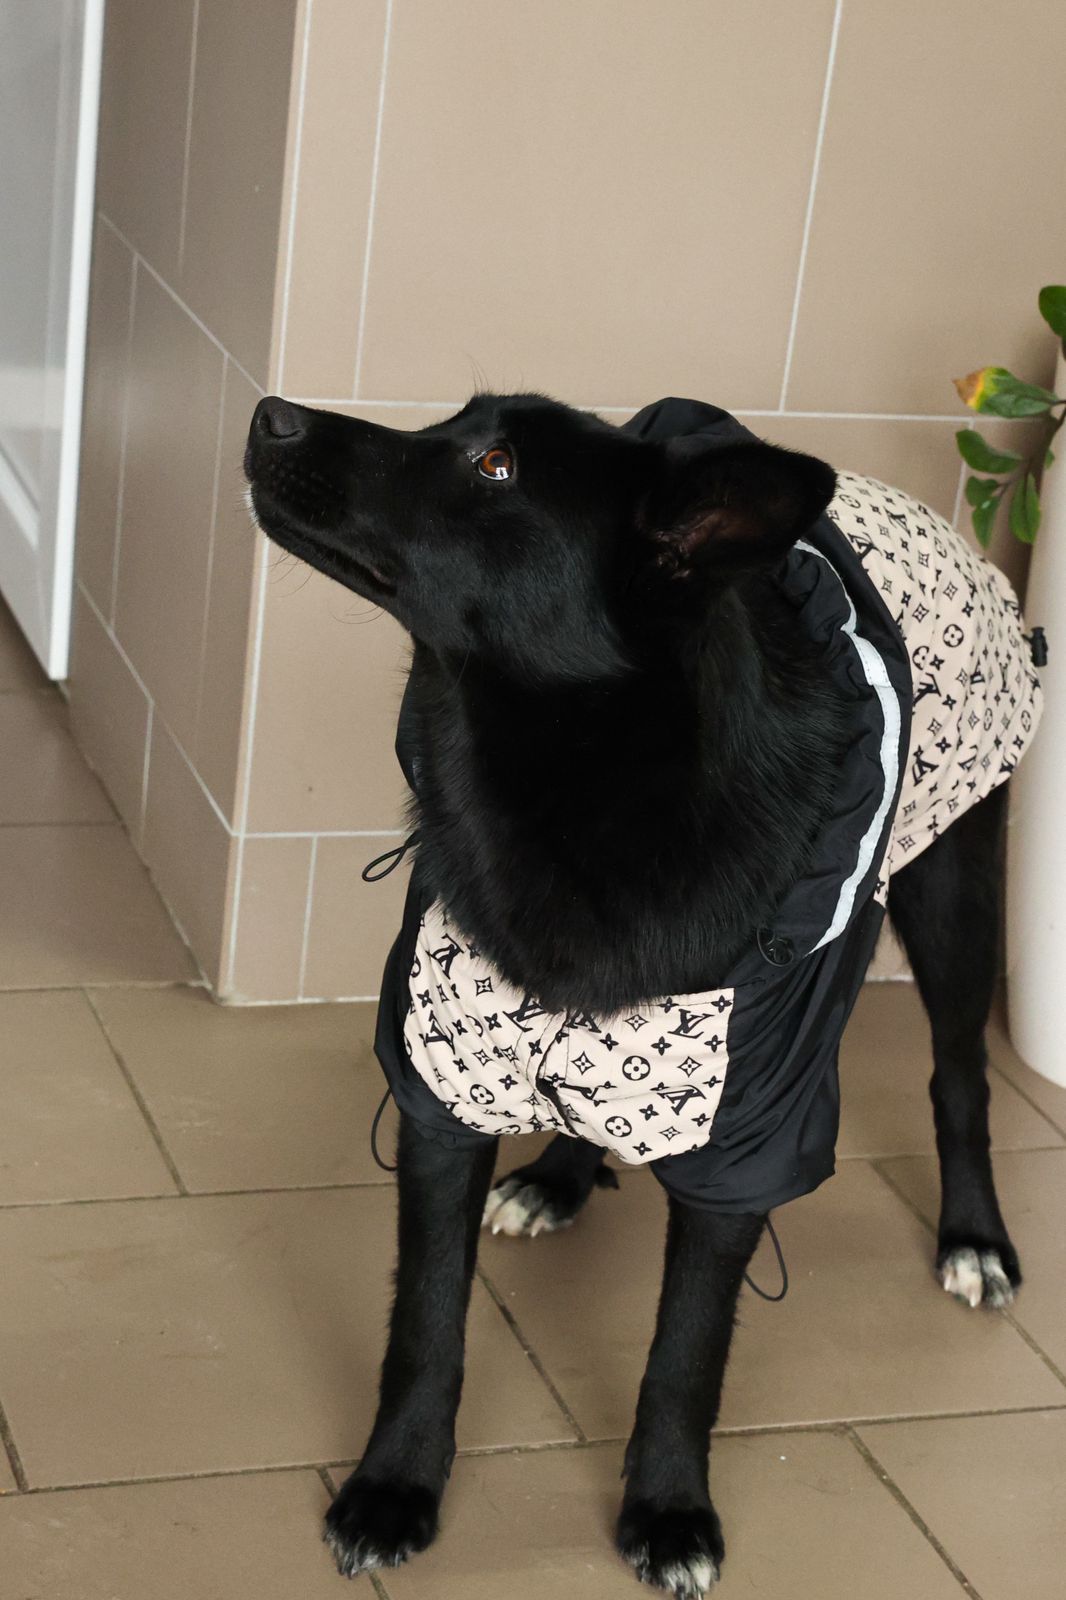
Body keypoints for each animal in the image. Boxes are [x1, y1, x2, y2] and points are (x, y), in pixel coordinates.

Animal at [245, 391, 1041, 1597]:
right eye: (458, 422)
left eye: (495, 466)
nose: (267, 413)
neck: (586, 782)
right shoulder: (446, 1075)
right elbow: (425, 1323)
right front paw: (396, 1486)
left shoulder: (749, 1128)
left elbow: (687, 1350)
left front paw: (669, 1509)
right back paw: (560, 1179)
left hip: (952, 897)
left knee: (960, 1077)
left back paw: (973, 1239)